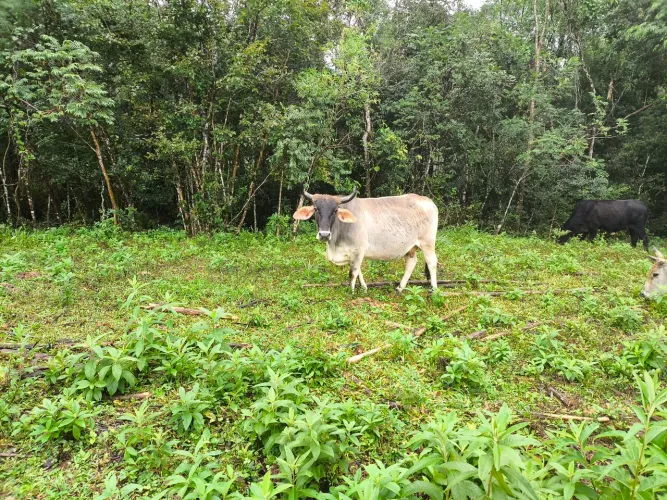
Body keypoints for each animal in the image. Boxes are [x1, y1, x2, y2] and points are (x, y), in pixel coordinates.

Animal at [292, 188, 439, 292]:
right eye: (316, 209)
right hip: (410, 247)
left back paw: (434, 289)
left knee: (432, 263)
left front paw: (351, 292)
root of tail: (427, 200)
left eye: (335, 210)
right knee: (411, 262)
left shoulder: (358, 250)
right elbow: (359, 271)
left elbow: (353, 272)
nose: (324, 234)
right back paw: (400, 288)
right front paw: (363, 287)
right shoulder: (354, 254)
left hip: (428, 243)